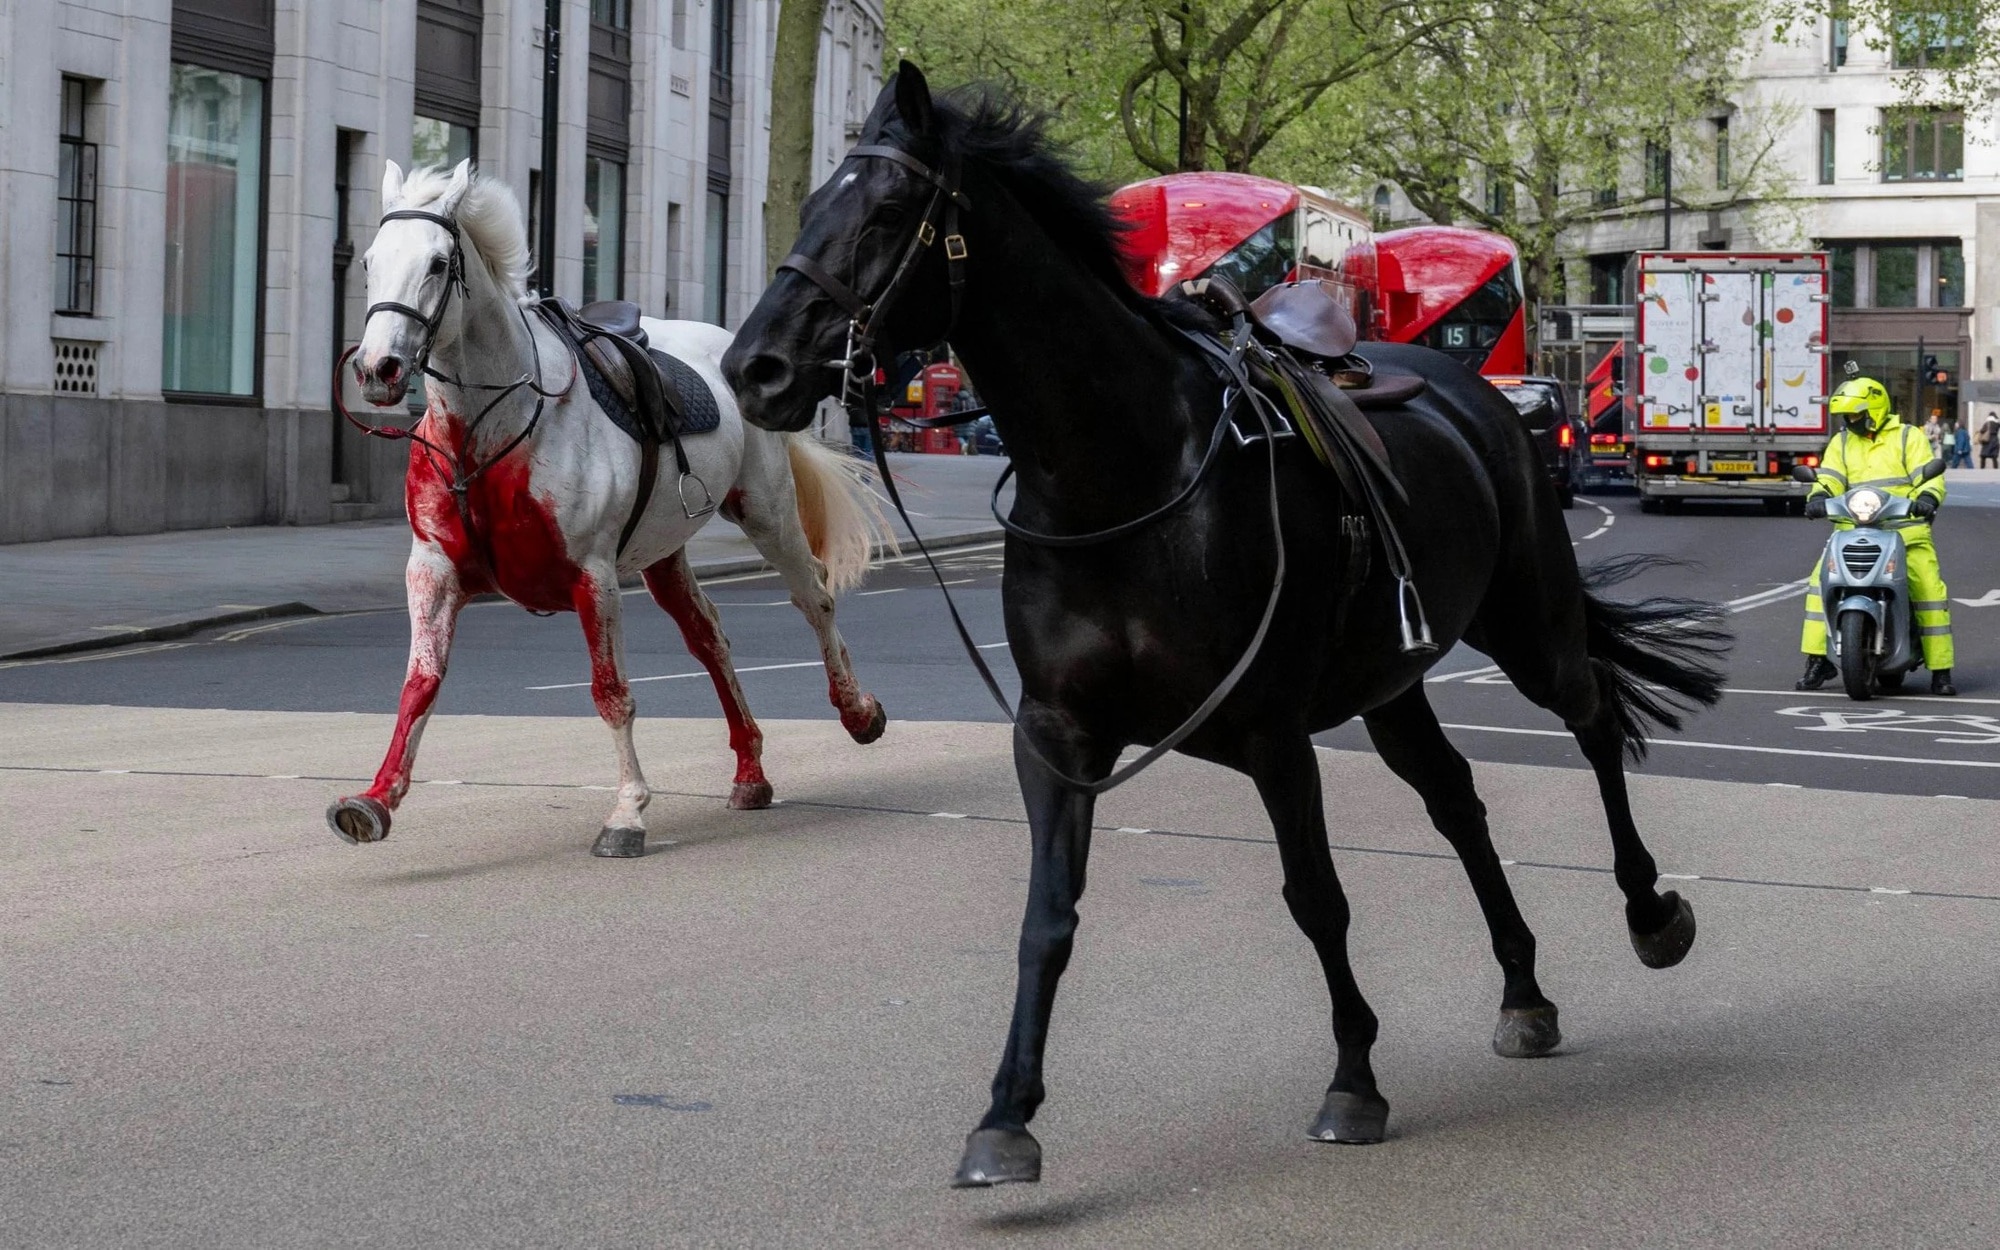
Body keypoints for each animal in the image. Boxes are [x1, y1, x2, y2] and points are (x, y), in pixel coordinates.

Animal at [330, 161, 892, 852]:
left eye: (438, 263)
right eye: (370, 262)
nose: (377, 369)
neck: (489, 430)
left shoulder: (592, 577)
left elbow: (611, 692)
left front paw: (627, 812)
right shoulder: (432, 572)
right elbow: (420, 685)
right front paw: (375, 799)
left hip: (765, 510)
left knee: (813, 597)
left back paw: (857, 711)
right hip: (664, 552)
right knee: (710, 638)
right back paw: (750, 772)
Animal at [724, 63, 1736, 1184]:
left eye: (889, 210)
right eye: (810, 204)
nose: (754, 368)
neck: (1119, 474)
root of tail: (1474, 393)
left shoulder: (1269, 729)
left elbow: (1316, 895)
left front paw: (1353, 1080)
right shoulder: (1058, 734)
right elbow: (1046, 917)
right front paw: (1006, 1113)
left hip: (1528, 622)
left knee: (1592, 716)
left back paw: (1650, 910)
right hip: (1391, 682)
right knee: (1457, 799)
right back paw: (1522, 990)